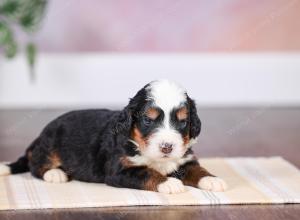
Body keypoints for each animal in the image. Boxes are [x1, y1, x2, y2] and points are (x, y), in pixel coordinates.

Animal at [0, 80, 226, 193]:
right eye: (148, 120)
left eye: (182, 121)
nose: (167, 147)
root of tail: (39, 136)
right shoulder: (120, 169)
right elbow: (147, 173)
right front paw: (168, 183)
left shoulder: (184, 160)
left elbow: (197, 170)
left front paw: (212, 180)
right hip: (50, 144)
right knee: (35, 165)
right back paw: (55, 174)